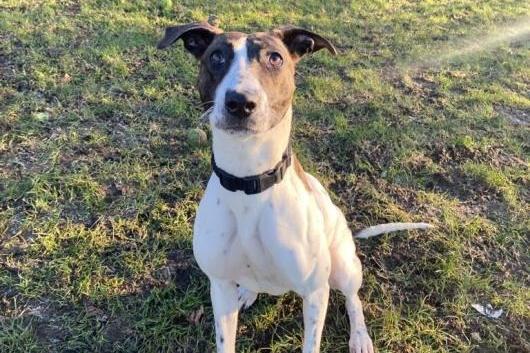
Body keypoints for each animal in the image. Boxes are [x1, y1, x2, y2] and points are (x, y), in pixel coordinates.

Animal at [157, 22, 428, 352]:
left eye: (275, 58)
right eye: (216, 57)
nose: (240, 103)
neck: (249, 178)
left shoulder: (315, 292)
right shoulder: (219, 286)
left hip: (343, 267)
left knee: (353, 299)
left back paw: (360, 337)